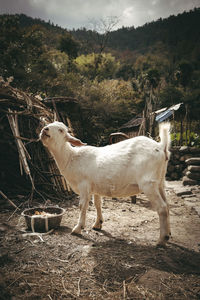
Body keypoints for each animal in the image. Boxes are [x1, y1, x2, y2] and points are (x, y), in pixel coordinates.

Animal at [39, 122, 171, 246]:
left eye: (61, 130)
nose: (45, 129)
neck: (71, 158)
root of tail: (161, 146)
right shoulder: (94, 188)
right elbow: (98, 204)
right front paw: (98, 224)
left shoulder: (84, 185)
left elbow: (82, 206)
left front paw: (78, 228)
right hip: (159, 181)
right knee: (167, 205)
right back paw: (168, 234)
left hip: (148, 183)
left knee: (162, 208)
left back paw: (161, 240)